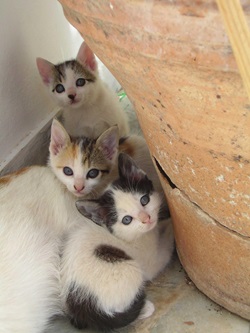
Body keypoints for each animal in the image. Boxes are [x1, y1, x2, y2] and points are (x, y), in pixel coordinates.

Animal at [75, 152, 174, 280]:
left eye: (144, 200)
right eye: (127, 219)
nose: (146, 219)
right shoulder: (151, 263)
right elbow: (165, 248)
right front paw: (172, 226)